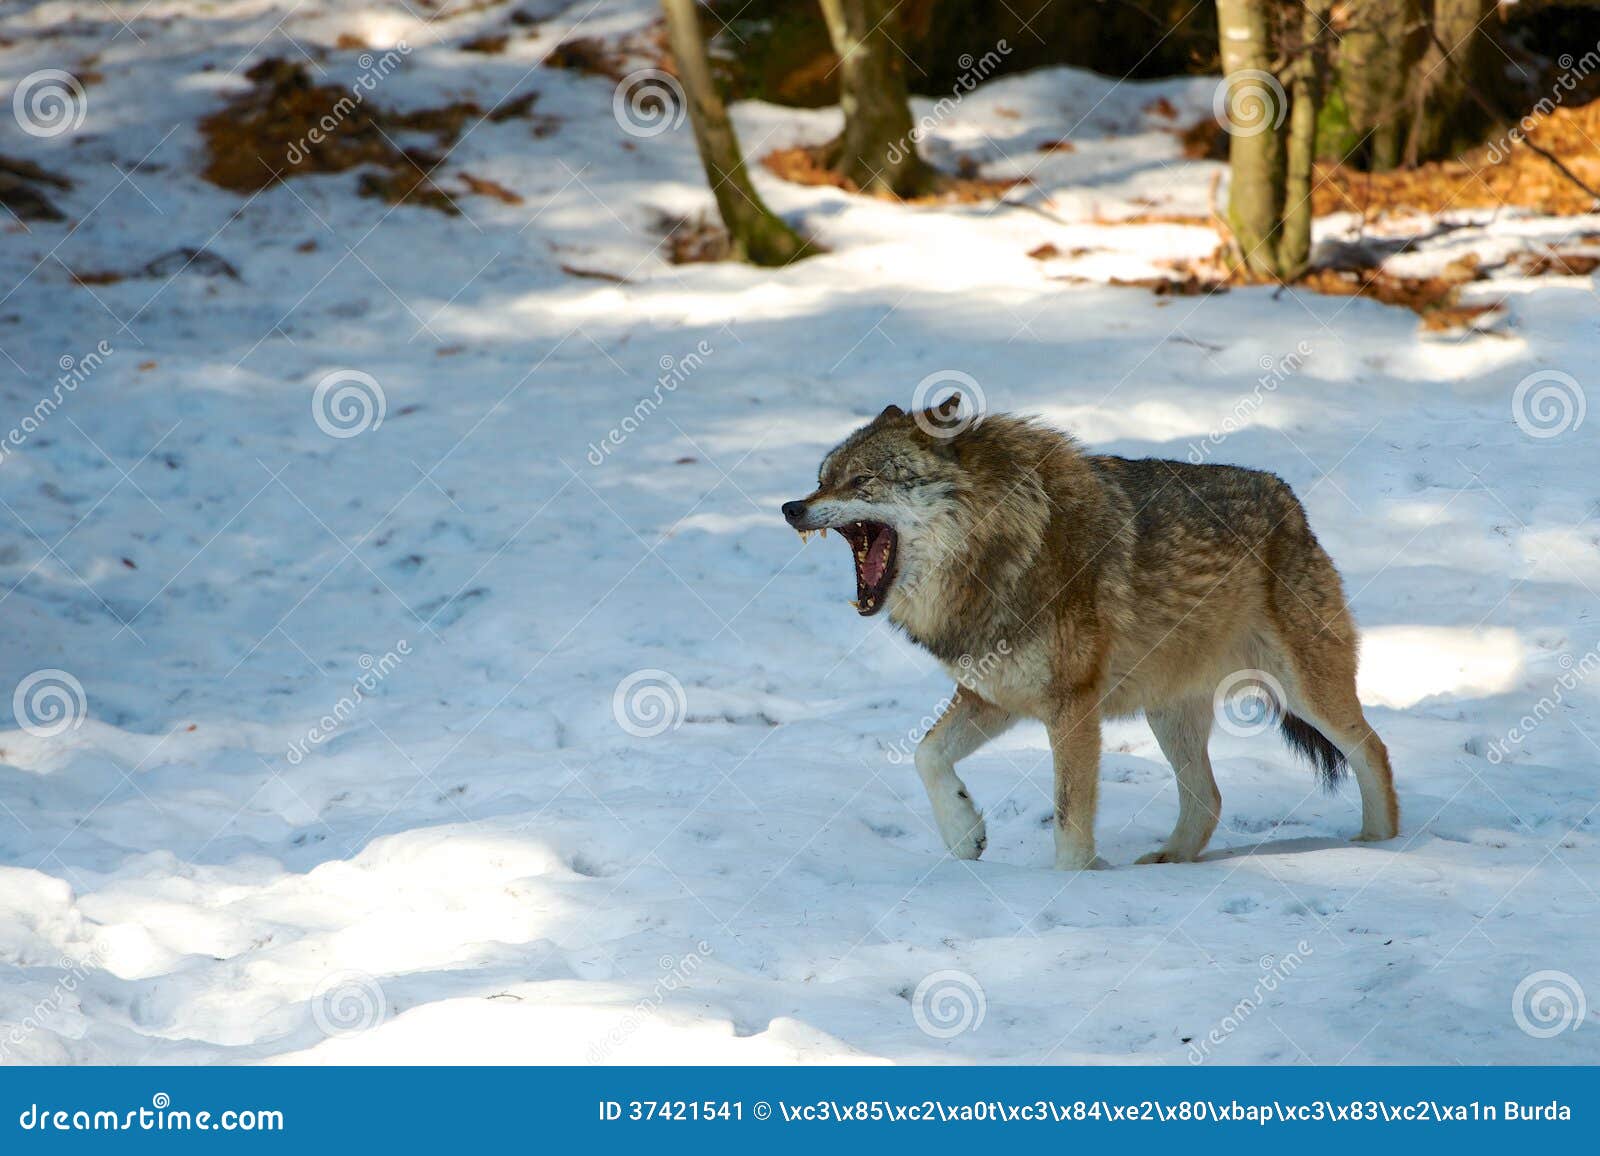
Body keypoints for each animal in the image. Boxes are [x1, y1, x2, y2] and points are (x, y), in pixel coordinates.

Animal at [780, 397, 1395, 864]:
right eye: (822, 480)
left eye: (861, 479)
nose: (790, 507)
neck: (999, 548)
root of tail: (1290, 501)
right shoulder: (994, 695)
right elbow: (926, 755)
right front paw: (964, 833)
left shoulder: (1071, 706)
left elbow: (1069, 817)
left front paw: (1073, 882)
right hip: (1169, 714)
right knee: (1209, 798)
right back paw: (1169, 861)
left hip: (1304, 691)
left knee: (1373, 749)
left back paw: (1378, 843)